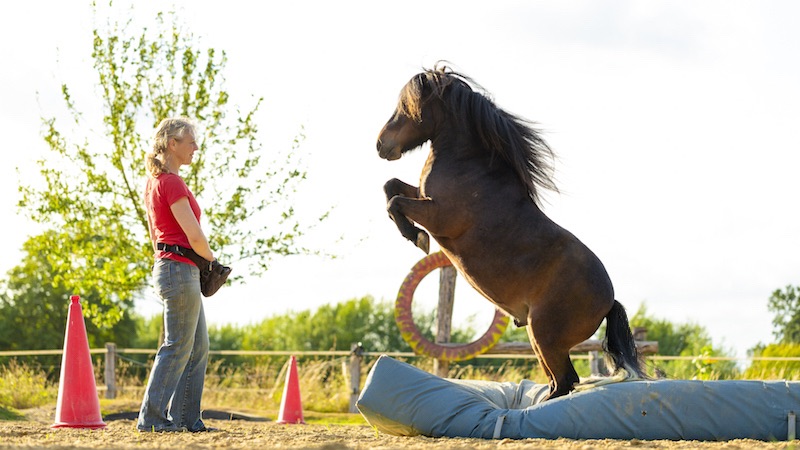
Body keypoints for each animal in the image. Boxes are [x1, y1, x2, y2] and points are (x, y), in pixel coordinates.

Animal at [376, 64, 647, 400]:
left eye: (408, 106)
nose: (381, 145)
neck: (469, 166)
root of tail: (609, 300)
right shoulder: (422, 196)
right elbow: (391, 187)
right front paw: (412, 233)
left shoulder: (438, 216)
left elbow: (396, 202)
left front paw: (417, 238)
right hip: (537, 337)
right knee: (560, 382)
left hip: (544, 336)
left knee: (565, 381)